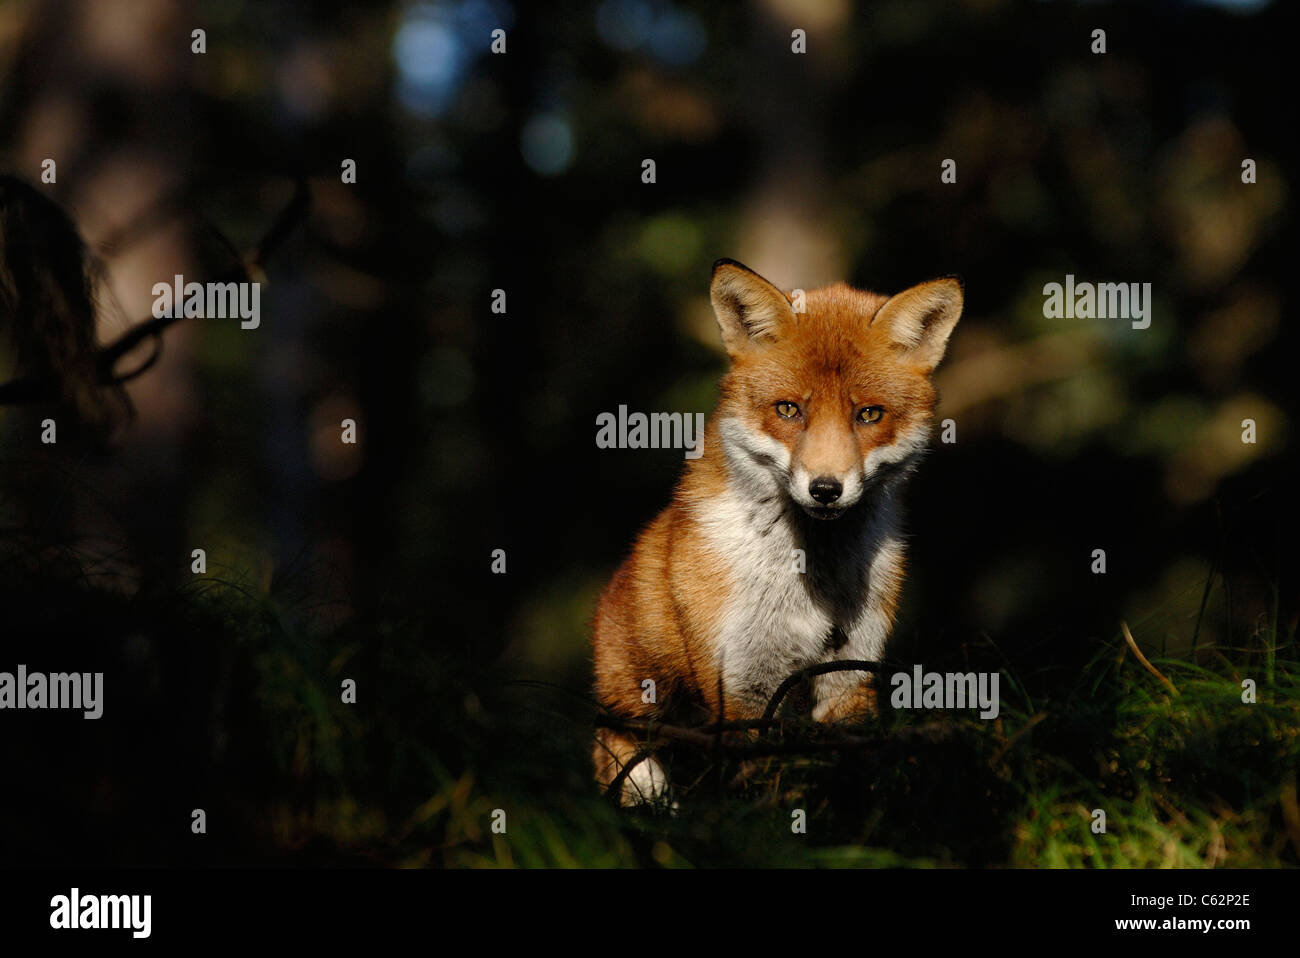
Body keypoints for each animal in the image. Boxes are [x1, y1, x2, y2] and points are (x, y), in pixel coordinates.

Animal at [592, 258, 963, 805]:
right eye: (789, 409)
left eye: (868, 414)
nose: (826, 489)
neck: (813, 578)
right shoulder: (742, 683)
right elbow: (759, 786)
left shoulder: (849, 673)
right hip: (637, 751)